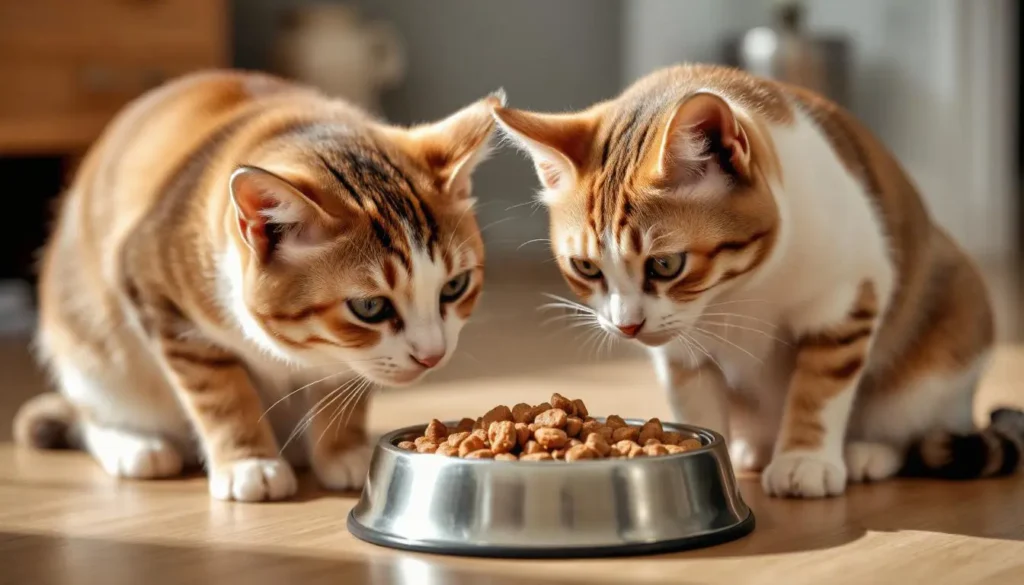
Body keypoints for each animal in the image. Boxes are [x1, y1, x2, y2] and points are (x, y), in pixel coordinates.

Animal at [12, 71, 499, 504]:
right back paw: (135, 445)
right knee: (90, 412)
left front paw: (343, 451)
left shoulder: (347, 359)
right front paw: (249, 463)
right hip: (91, 352)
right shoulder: (157, 294)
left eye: (455, 286)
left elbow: (342, 382)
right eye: (370, 307)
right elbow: (221, 392)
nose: (432, 356)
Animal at [491, 65, 1019, 499]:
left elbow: (821, 388)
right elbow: (695, 399)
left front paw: (805, 459)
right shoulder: (682, 354)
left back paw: (867, 452)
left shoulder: (849, 299)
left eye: (666, 265)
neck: (739, 292)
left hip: (939, 356)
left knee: (913, 425)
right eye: (587, 268)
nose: (627, 327)